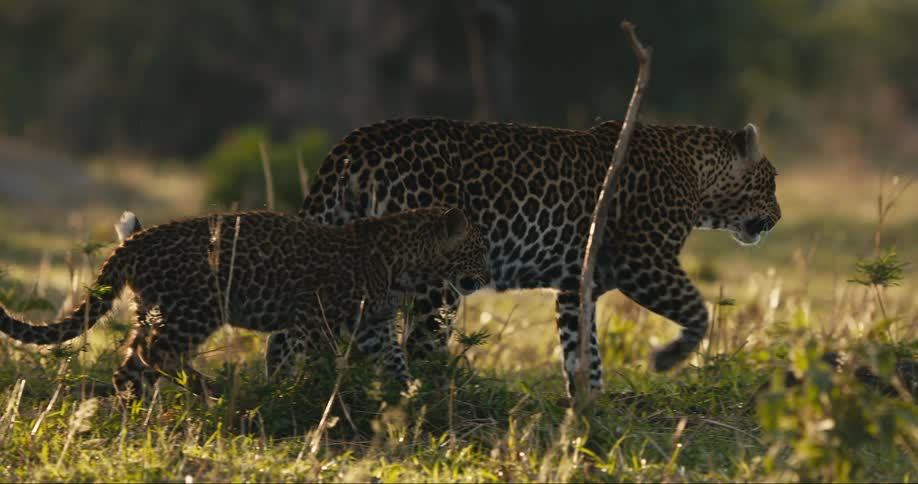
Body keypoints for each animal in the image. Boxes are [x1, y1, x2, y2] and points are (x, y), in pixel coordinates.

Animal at [0, 207, 491, 397]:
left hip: (156, 310)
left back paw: (136, 405)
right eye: (478, 249)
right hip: (197, 308)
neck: (407, 264)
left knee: (135, 360)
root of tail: (134, 240)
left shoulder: (373, 326)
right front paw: (295, 392)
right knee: (154, 353)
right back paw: (209, 390)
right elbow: (307, 359)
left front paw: (410, 396)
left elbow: (394, 361)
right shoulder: (312, 317)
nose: (487, 276)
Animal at [283, 117, 780, 397]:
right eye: (772, 180)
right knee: (415, 347)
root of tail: (352, 146)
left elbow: (584, 354)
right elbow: (699, 312)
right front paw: (667, 360)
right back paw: (432, 402)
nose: (777, 217)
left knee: (288, 338)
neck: (699, 175)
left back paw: (284, 388)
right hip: (432, 282)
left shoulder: (576, 287)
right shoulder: (646, 263)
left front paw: (588, 416)